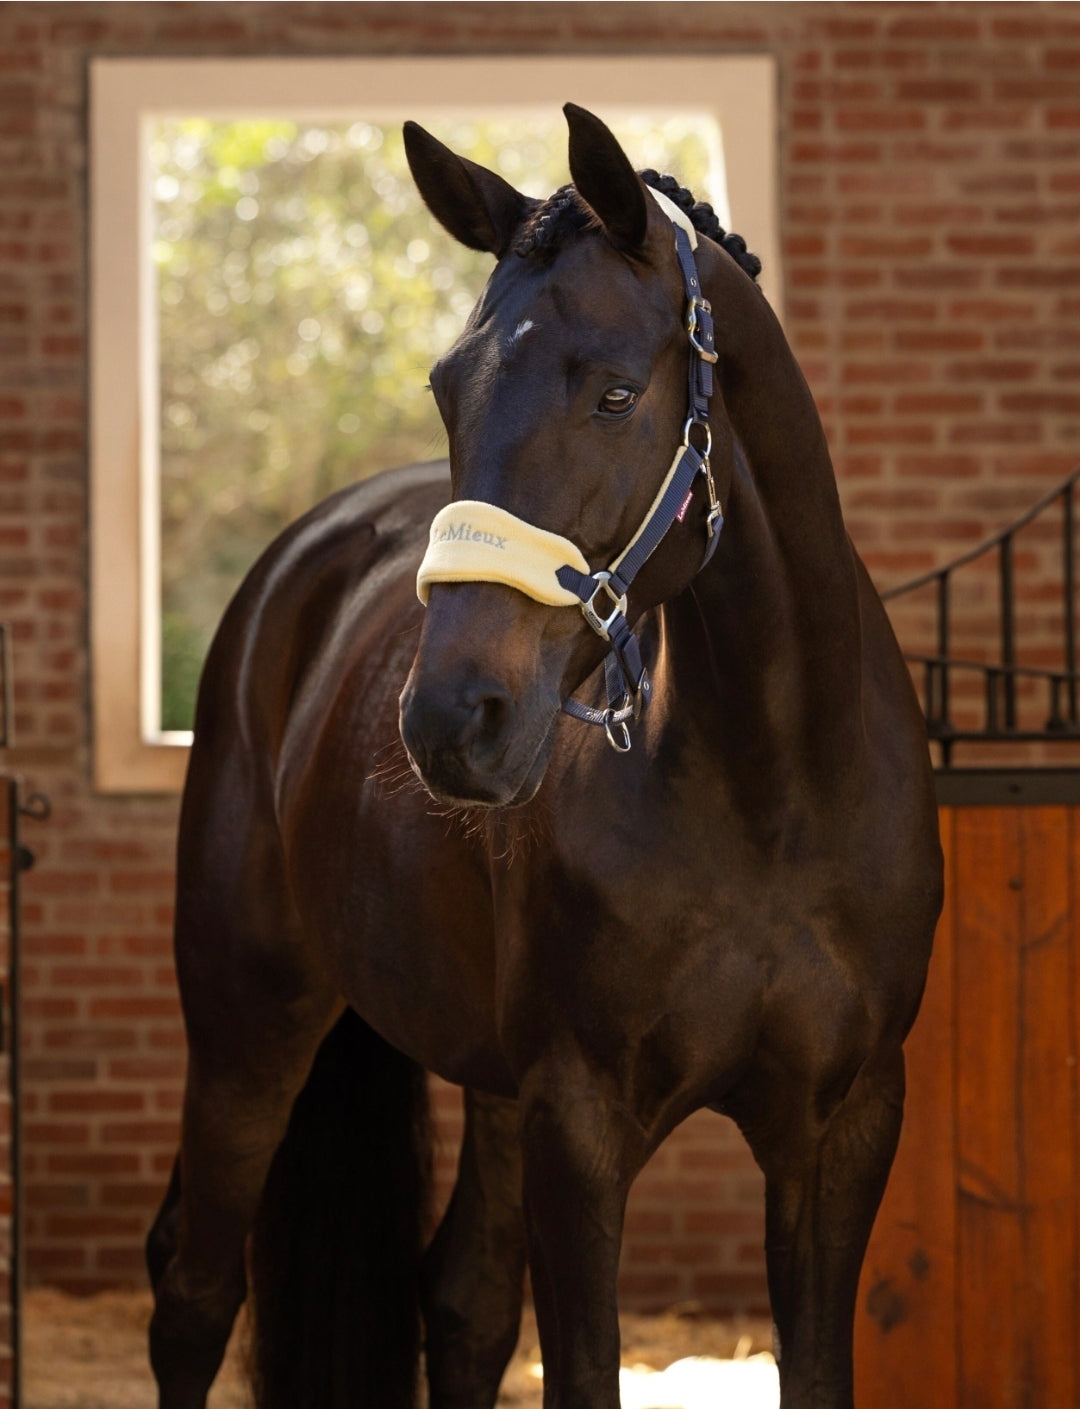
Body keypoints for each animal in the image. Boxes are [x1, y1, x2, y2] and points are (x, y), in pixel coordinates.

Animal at [145, 104, 943, 1409]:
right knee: (194, 1293)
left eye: (616, 393)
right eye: (447, 388)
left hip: (487, 1085)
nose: (450, 717)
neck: (774, 788)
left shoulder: (843, 1129)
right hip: (246, 1028)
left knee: (462, 1300)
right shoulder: (582, 1122)